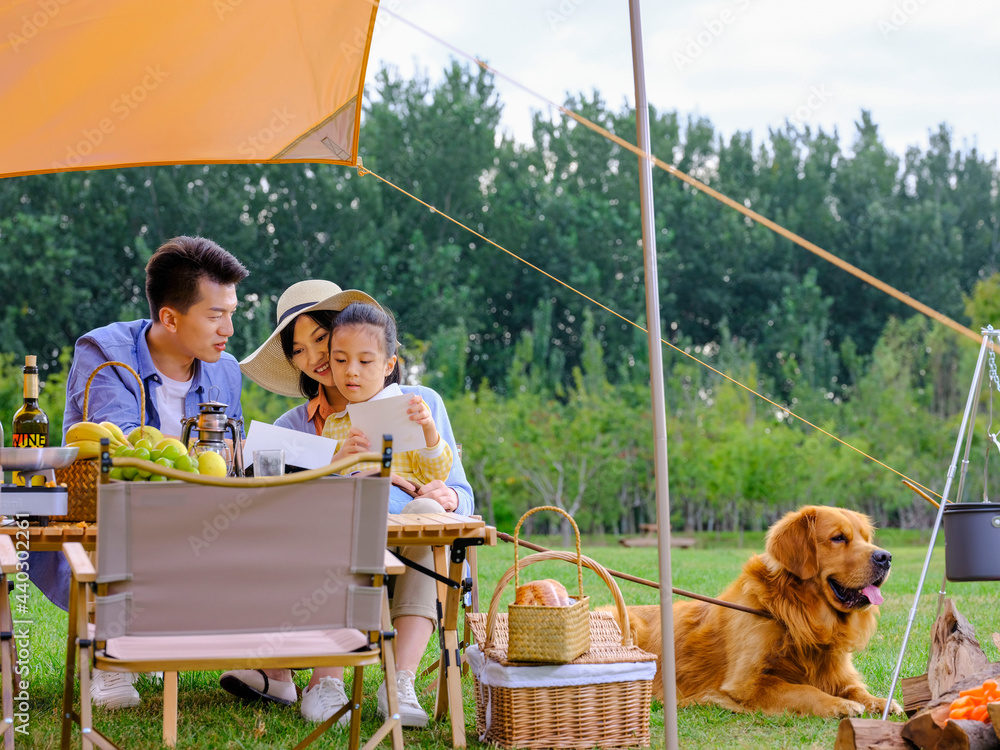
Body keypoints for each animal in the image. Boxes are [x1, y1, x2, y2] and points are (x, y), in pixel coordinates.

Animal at [620, 508, 904, 720]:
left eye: (866, 538)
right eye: (838, 538)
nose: (886, 557)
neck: (799, 617)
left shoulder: (837, 674)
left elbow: (856, 689)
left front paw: (880, 701)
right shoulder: (747, 684)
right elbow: (804, 690)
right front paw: (838, 704)